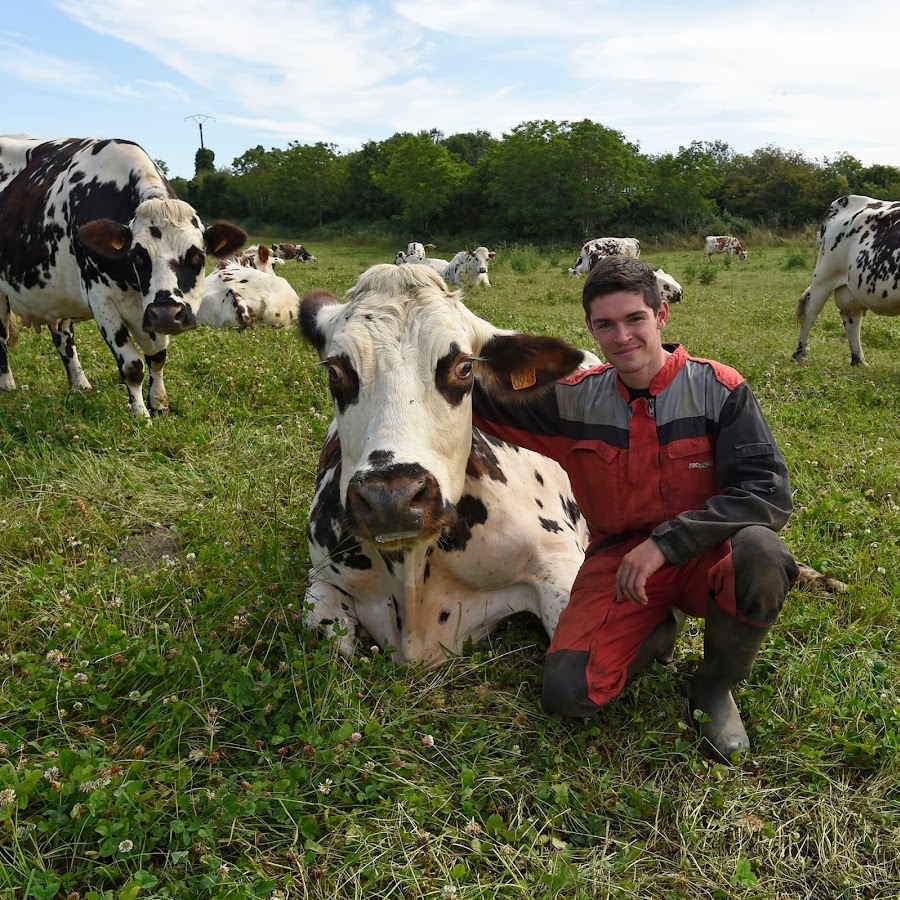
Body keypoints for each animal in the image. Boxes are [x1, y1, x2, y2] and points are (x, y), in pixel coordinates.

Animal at [0, 135, 246, 416]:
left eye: (197, 255)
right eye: (137, 256)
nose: (166, 313)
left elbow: (158, 358)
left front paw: (159, 403)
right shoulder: (102, 300)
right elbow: (132, 365)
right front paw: (140, 414)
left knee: (63, 337)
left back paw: (80, 384)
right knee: (2, 337)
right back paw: (7, 383)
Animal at [298, 264, 592, 664]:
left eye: (464, 367)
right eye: (335, 371)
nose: (392, 500)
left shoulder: (559, 561)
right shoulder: (323, 578)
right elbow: (328, 640)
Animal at [796, 194, 900, 366]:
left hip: (850, 287)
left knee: (851, 317)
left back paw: (859, 362)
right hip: (824, 276)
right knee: (810, 313)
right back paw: (800, 356)